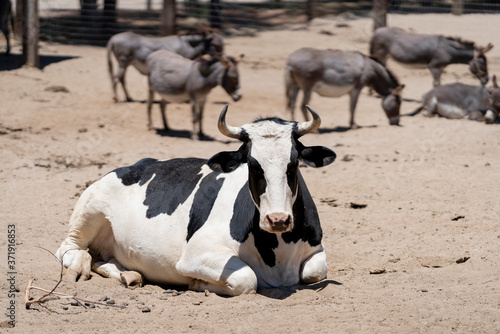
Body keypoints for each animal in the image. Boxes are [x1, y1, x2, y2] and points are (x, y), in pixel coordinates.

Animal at [55, 105, 336, 296]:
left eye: (294, 163)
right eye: (253, 165)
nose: (277, 219)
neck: (277, 254)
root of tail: (136, 165)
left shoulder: (316, 249)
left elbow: (315, 271)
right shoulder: (197, 253)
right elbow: (247, 279)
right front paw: (199, 283)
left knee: (104, 260)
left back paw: (129, 275)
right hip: (90, 210)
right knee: (69, 248)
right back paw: (80, 265)